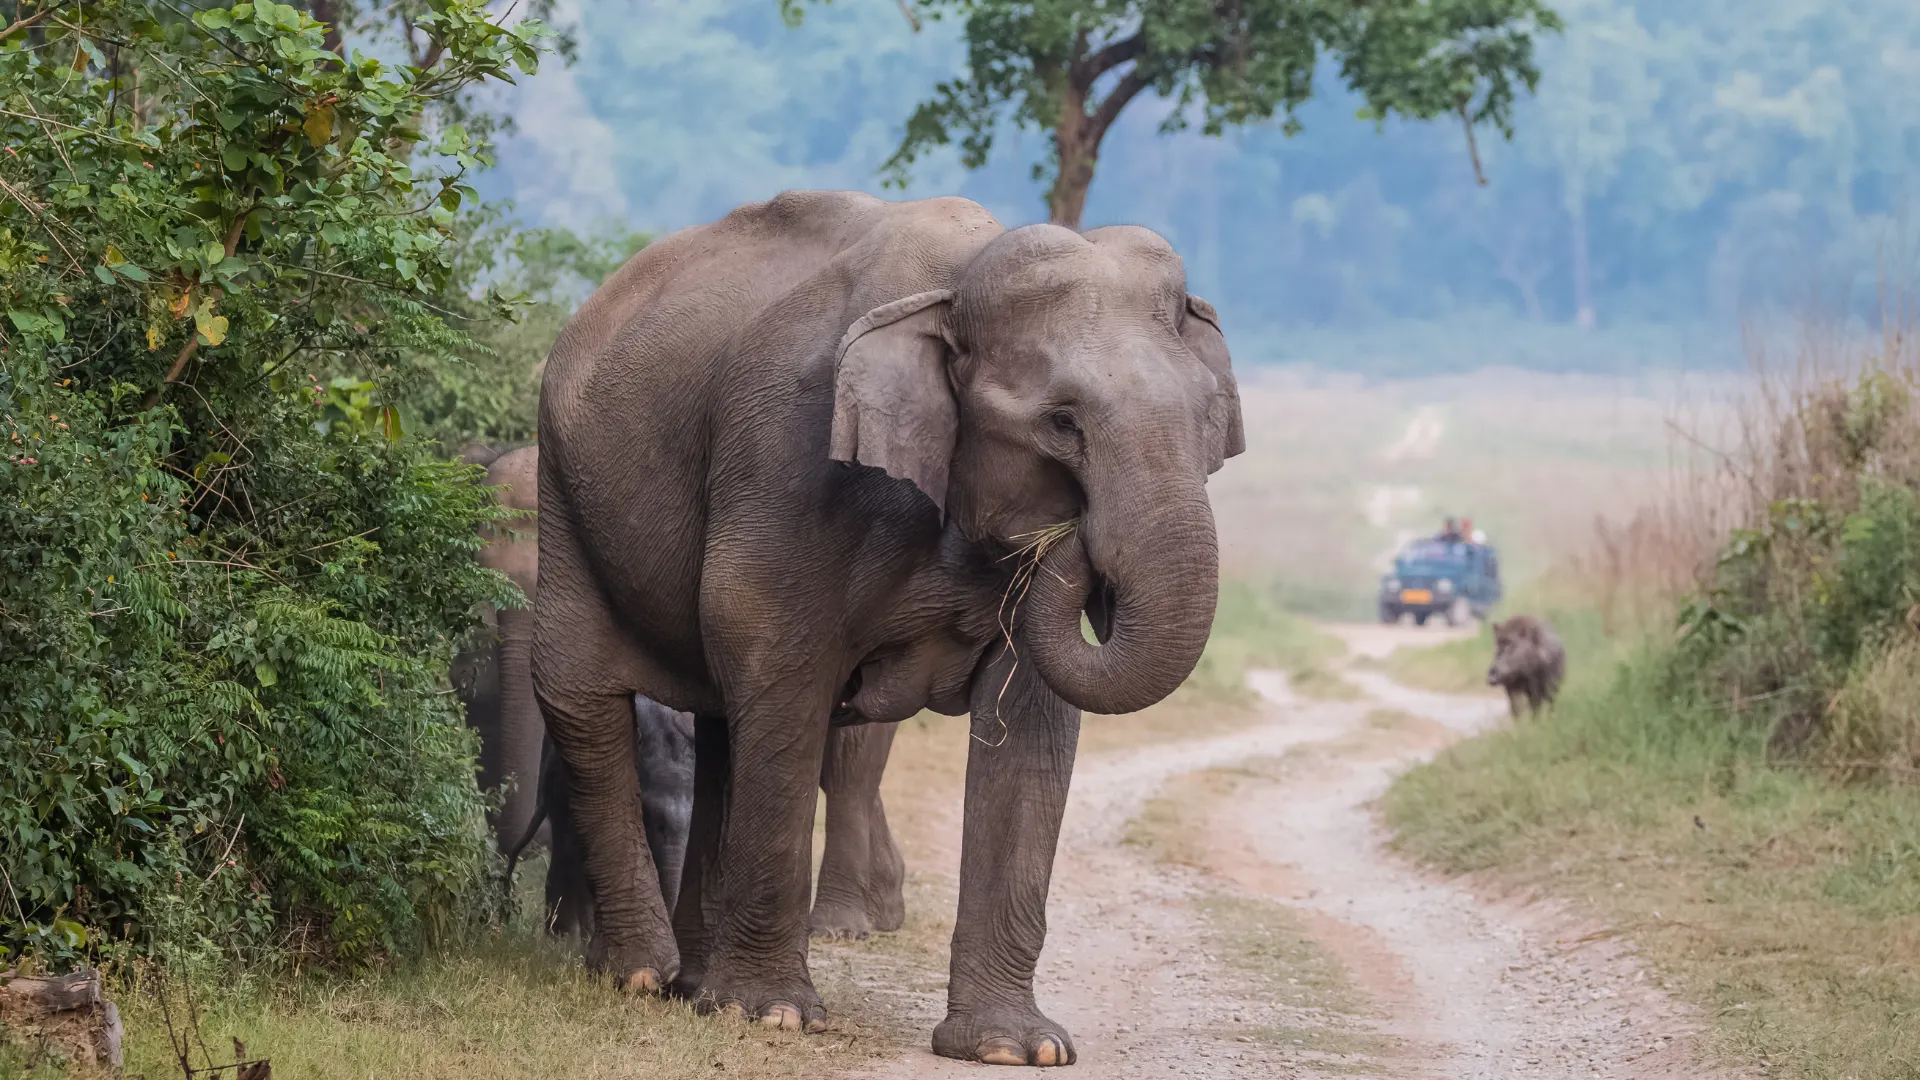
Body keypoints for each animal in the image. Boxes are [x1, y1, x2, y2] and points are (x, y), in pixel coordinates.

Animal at [530, 191, 1242, 1065]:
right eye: (1061, 424)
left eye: (1209, 421)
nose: (1074, 539)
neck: (956, 281)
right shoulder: (789, 460)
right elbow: (776, 658)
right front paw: (774, 1017)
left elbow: (1029, 723)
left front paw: (1017, 1048)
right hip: (563, 486)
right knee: (585, 700)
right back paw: (641, 976)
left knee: (725, 726)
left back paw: (698, 988)